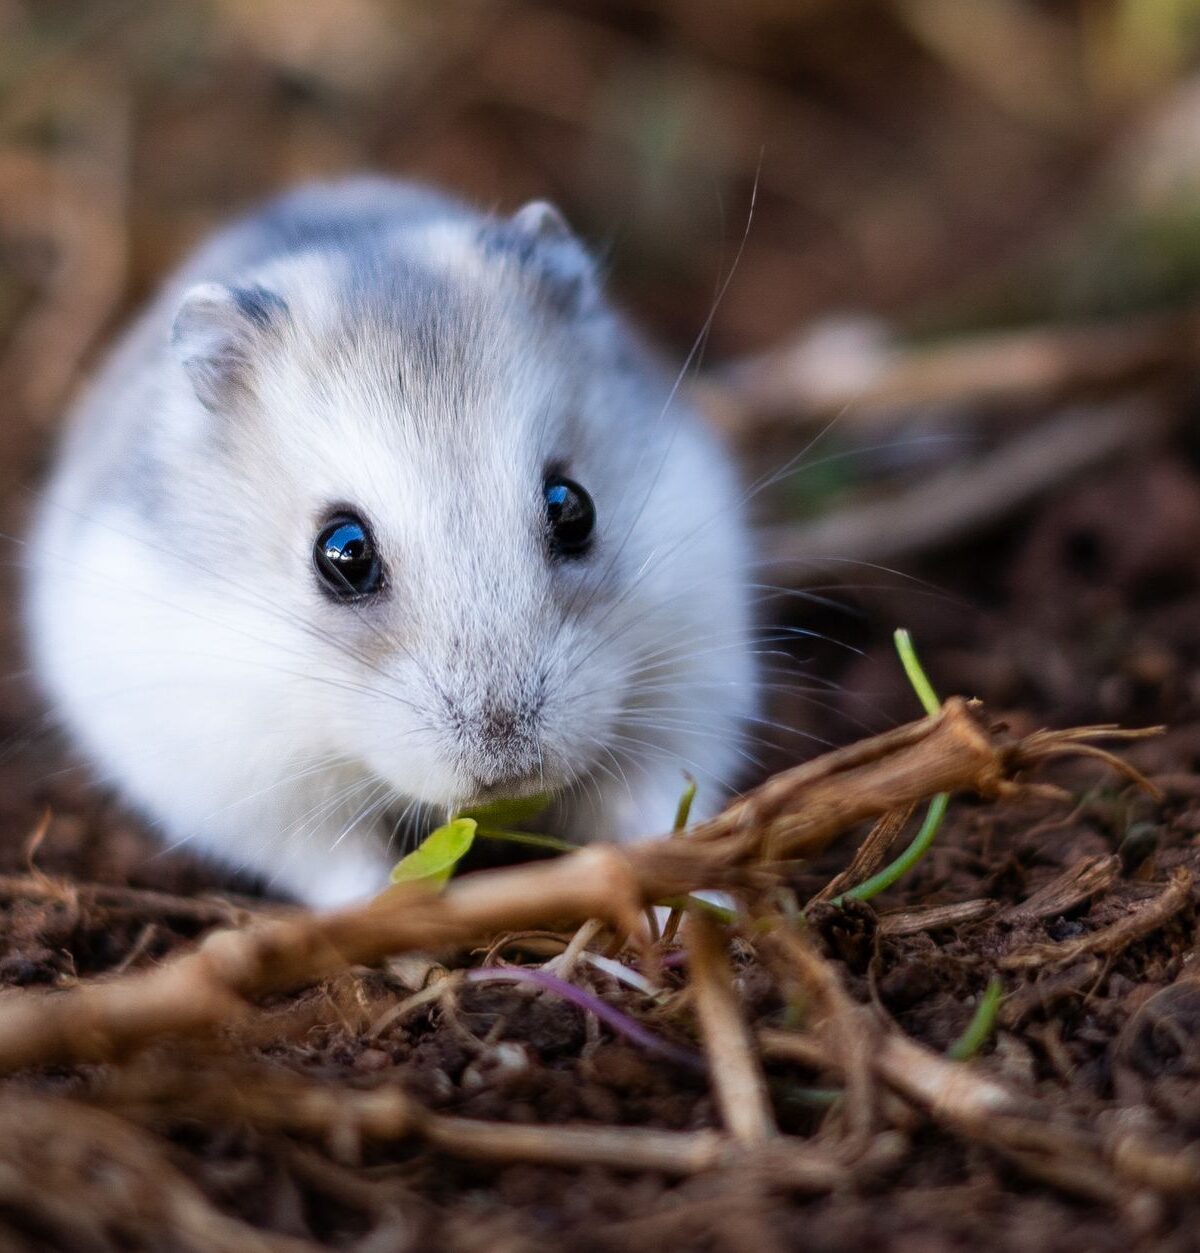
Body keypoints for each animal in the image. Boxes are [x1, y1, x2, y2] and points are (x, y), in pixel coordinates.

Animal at [24, 177, 755, 908]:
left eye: (573, 507)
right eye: (343, 552)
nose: (509, 763)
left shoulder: (685, 694)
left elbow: (654, 812)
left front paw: (709, 904)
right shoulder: (250, 787)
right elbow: (343, 866)